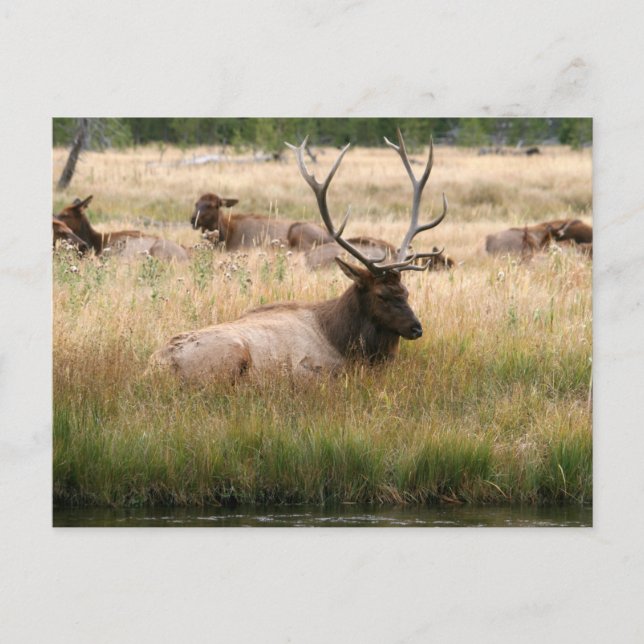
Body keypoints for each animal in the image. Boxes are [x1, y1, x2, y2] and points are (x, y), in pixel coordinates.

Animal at [150, 130, 448, 381]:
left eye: (406, 292)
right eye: (382, 295)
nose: (416, 328)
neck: (342, 338)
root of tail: (158, 365)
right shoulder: (315, 369)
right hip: (231, 353)